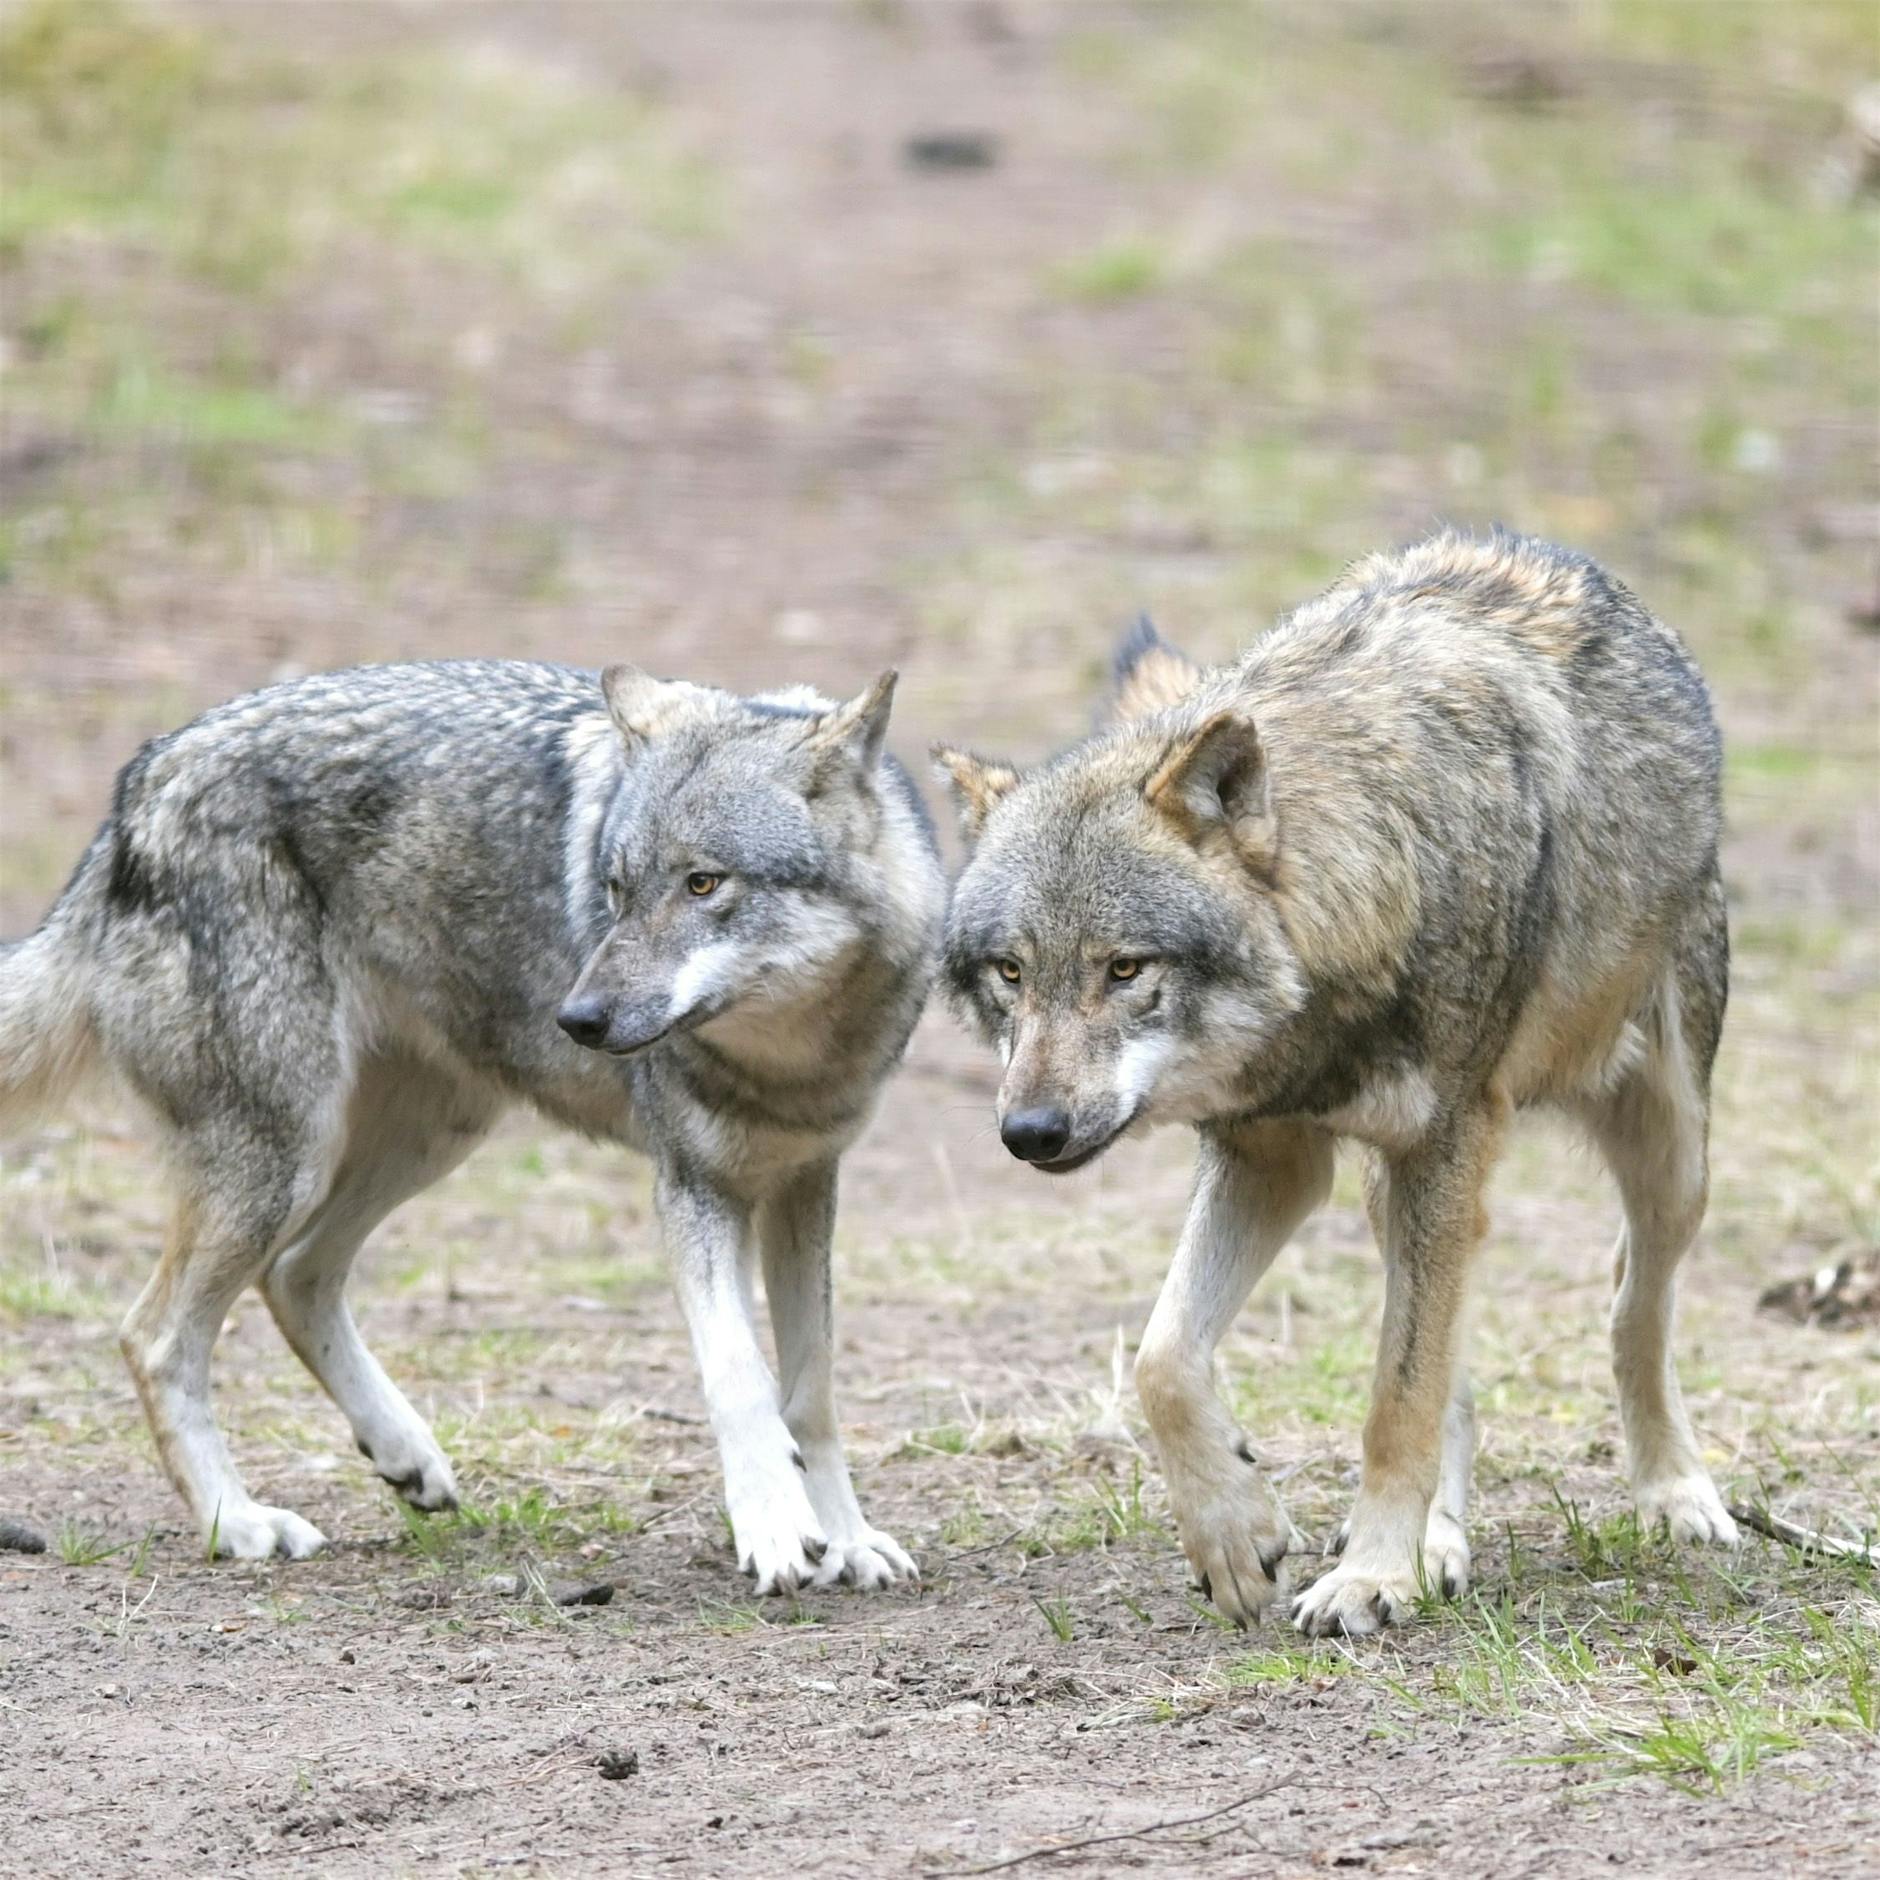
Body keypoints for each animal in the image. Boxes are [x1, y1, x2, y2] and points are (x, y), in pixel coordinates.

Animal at [1, 658, 943, 1590]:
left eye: (703, 883)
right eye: (614, 890)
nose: (579, 1019)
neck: (790, 1059)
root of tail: (140, 782)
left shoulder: (804, 1183)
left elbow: (811, 1392)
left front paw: (847, 1538)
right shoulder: (692, 1188)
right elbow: (740, 1377)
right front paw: (777, 1530)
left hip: (429, 1139)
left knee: (297, 1275)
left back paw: (402, 1454)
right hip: (287, 1163)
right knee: (154, 1337)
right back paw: (237, 1522)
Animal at [935, 530, 1737, 1636]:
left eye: (1125, 968)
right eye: (1010, 972)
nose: (1031, 1131)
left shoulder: (1441, 1142)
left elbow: (1396, 1401)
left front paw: (1368, 1576)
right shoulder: (1271, 1156)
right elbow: (1163, 1359)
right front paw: (1238, 1537)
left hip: (1666, 1153)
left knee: (1629, 1305)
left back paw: (1673, 1493)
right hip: (1395, 1191)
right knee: (1459, 1367)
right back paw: (1440, 1541)